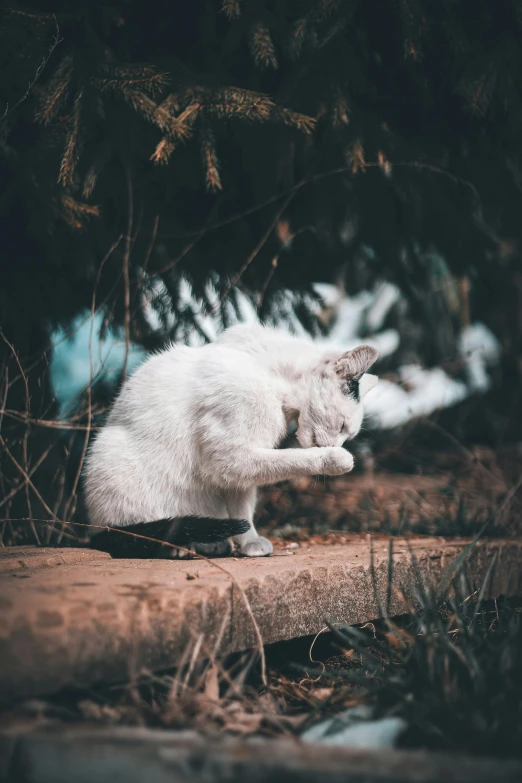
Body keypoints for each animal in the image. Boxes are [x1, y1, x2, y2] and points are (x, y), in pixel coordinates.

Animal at [86, 324, 378, 556]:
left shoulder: (237, 472)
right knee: (141, 535)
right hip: (113, 465)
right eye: (342, 426)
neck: (270, 373)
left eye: (348, 434)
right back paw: (178, 547)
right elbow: (294, 459)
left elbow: (243, 510)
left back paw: (212, 544)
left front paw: (250, 543)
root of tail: (94, 529)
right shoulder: (230, 456)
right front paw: (337, 459)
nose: (339, 445)